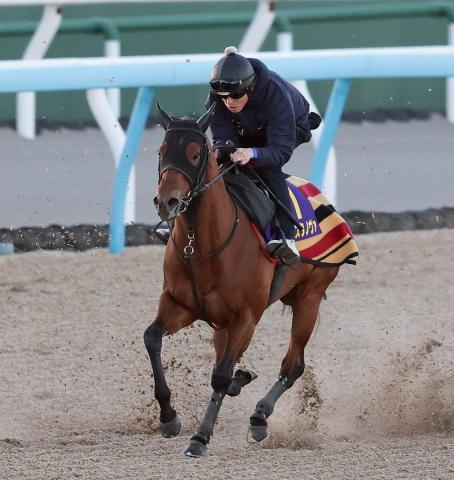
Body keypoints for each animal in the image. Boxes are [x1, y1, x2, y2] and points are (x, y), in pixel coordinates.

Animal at [144, 102, 338, 458]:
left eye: (195, 154)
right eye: (162, 151)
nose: (167, 202)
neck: (200, 246)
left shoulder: (246, 315)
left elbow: (220, 376)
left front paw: (200, 437)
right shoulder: (179, 304)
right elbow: (152, 338)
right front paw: (168, 417)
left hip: (310, 297)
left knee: (293, 365)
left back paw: (259, 417)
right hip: (224, 322)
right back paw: (243, 381)